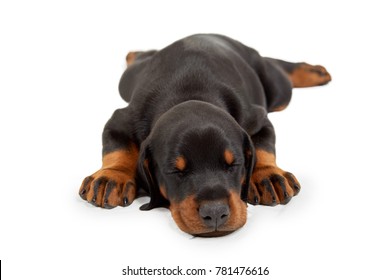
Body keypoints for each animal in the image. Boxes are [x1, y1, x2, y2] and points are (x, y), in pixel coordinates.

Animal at [77, 34, 330, 237]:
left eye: (233, 165)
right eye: (175, 171)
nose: (215, 213)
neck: (190, 93)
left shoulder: (257, 118)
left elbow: (263, 147)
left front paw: (268, 175)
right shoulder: (121, 119)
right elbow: (116, 147)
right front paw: (111, 176)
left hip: (277, 92)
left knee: (277, 71)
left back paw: (314, 72)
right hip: (128, 81)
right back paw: (136, 53)